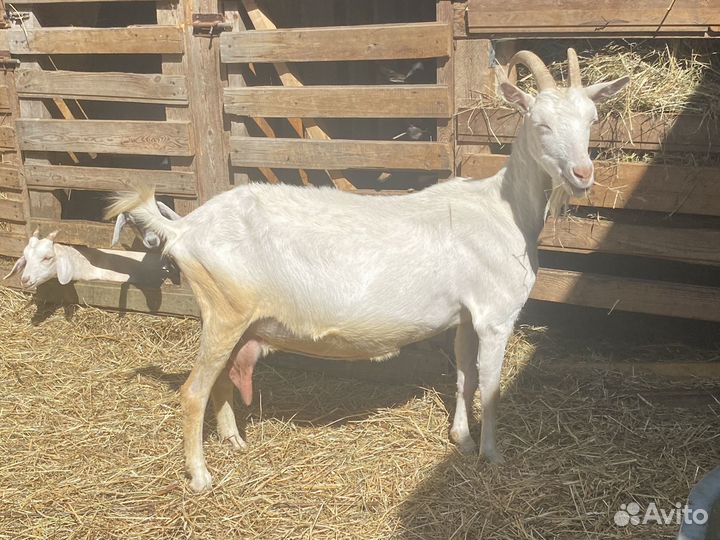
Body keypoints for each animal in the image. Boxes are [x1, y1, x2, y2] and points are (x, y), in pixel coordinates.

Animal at [106, 49, 629, 493]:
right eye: (541, 124)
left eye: (591, 120)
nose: (583, 174)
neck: (505, 210)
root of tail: (185, 228)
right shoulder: (496, 315)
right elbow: (491, 386)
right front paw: (493, 455)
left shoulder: (466, 314)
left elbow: (463, 375)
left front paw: (461, 439)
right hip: (224, 309)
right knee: (193, 391)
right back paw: (200, 476)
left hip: (229, 317)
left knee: (218, 379)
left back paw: (234, 440)